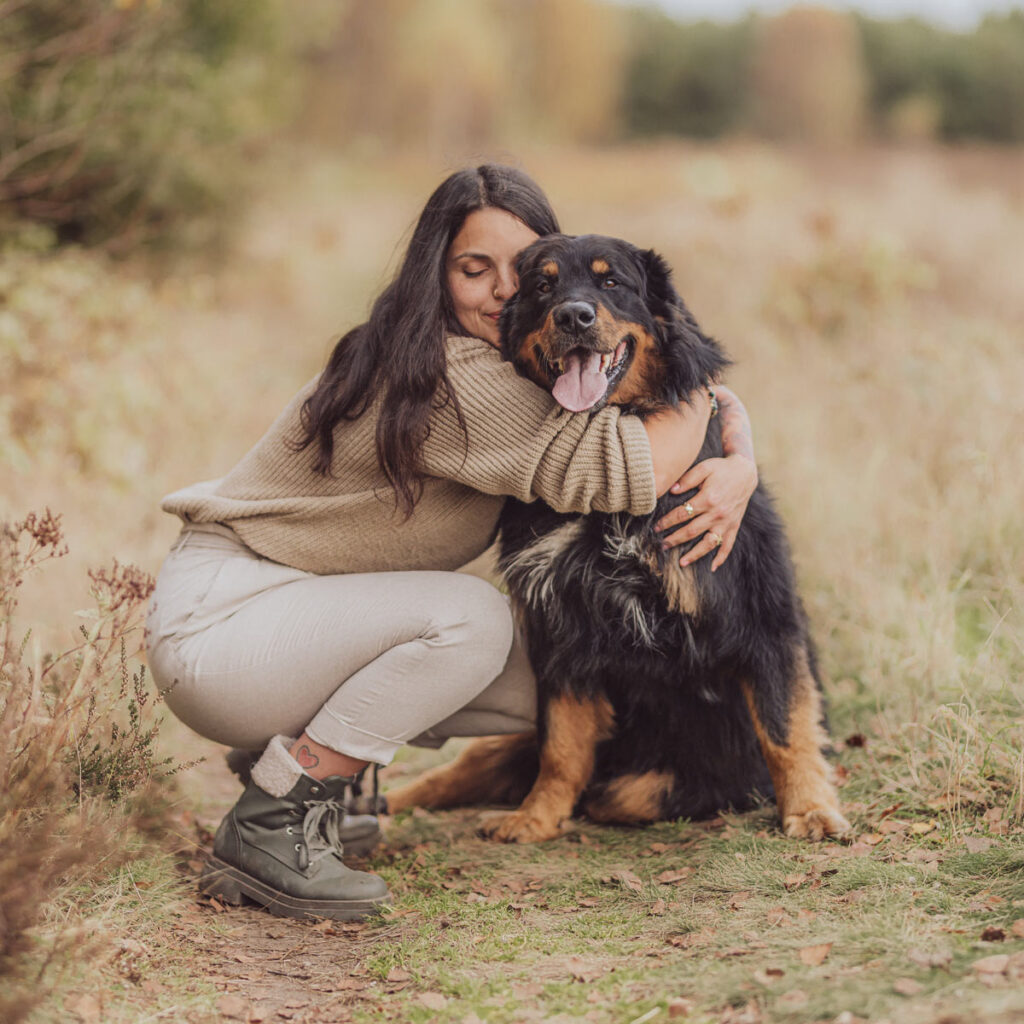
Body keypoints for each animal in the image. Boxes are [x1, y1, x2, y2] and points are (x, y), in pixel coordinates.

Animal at [385, 235, 847, 843]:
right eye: (542, 286)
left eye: (610, 283)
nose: (573, 316)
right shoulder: (561, 627)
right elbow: (562, 746)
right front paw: (538, 817)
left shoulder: (760, 614)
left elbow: (784, 726)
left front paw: (810, 808)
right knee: (462, 768)